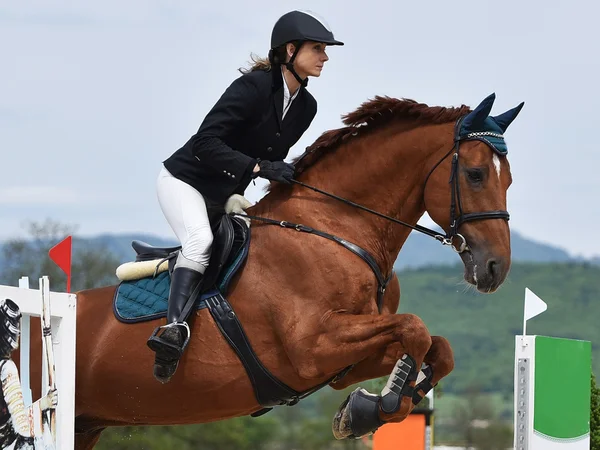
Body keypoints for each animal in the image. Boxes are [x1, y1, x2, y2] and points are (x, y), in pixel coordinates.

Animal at [35, 91, 520, 446]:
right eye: (476, 174)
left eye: (509, 179)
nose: (495, 268)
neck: (336, 227)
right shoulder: (314, 348)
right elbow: (416, 330)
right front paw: (372, 409)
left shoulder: (346, 360)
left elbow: (438, 349)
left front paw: (361, 411)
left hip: (83, 426)